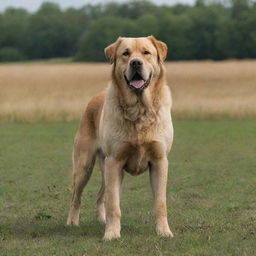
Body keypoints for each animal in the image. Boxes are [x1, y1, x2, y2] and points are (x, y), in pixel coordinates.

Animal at [66, 36, 174, 240]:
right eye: (125, 53)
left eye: (146, 53)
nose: (136, 63)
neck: (139, 108)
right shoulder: (115, 161)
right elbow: (113, 204)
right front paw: (111, 234)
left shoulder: (159, 161)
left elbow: (160, 203)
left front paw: (164, 232)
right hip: (85, 166)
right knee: (76, 196)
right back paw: (72, 222)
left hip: (106, 169)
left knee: (100, 195)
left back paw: (101, 220)